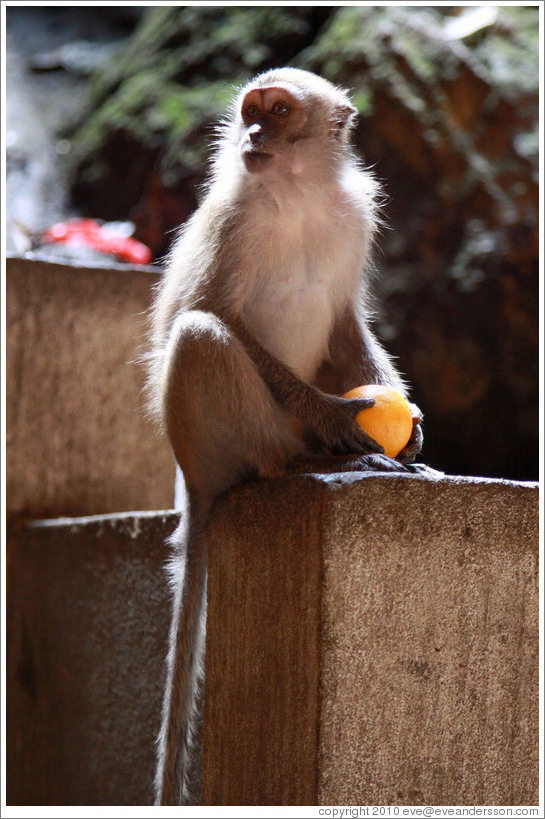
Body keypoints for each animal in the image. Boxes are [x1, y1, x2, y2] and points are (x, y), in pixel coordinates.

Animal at [147, 65, 422, 808]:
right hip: (213, 438)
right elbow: (205, 312)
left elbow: (345, 325)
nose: (251, 133)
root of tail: (191, 477)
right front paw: (336, 419)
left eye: (276, 112)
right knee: (201, 335)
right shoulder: (232, 220)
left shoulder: (355, 218)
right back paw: (299, 460)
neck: (296, 194)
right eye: (252, 110)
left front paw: (411, 427)